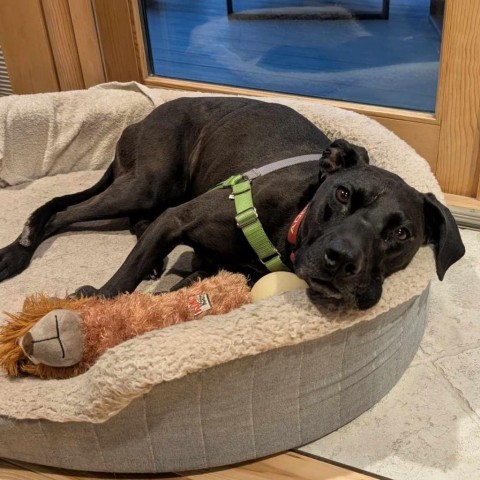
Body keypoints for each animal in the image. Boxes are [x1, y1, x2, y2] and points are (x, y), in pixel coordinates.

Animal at [0, 96, 464, 312]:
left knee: (134, 221)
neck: (288, 225)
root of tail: (138, 122)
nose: (341, 259)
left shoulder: (213, 269)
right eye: (343, 194)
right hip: (149, 183)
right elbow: (122, 281)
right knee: (63, 213)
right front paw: (96, 301)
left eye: (401, 233)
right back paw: (15, 253)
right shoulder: (178, 218)